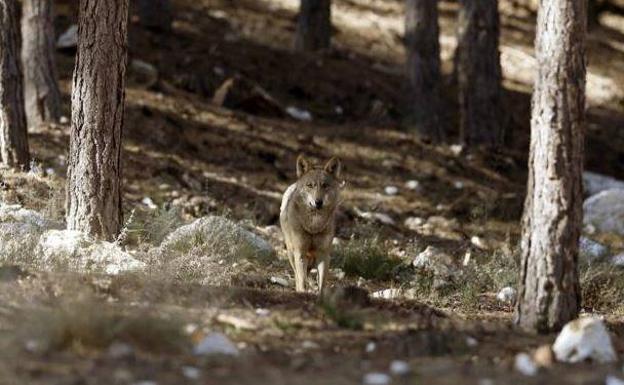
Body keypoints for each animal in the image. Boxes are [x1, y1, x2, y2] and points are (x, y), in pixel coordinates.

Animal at [280, 154, 344, 294]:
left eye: (325, 185)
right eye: (310, 185)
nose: (318, 202)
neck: (314, 226)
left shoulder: (323, 255)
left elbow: (322, 283)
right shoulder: (300, 252)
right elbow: (302, 280)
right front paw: (303, 292)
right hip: (291, 253)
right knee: (297, 275)